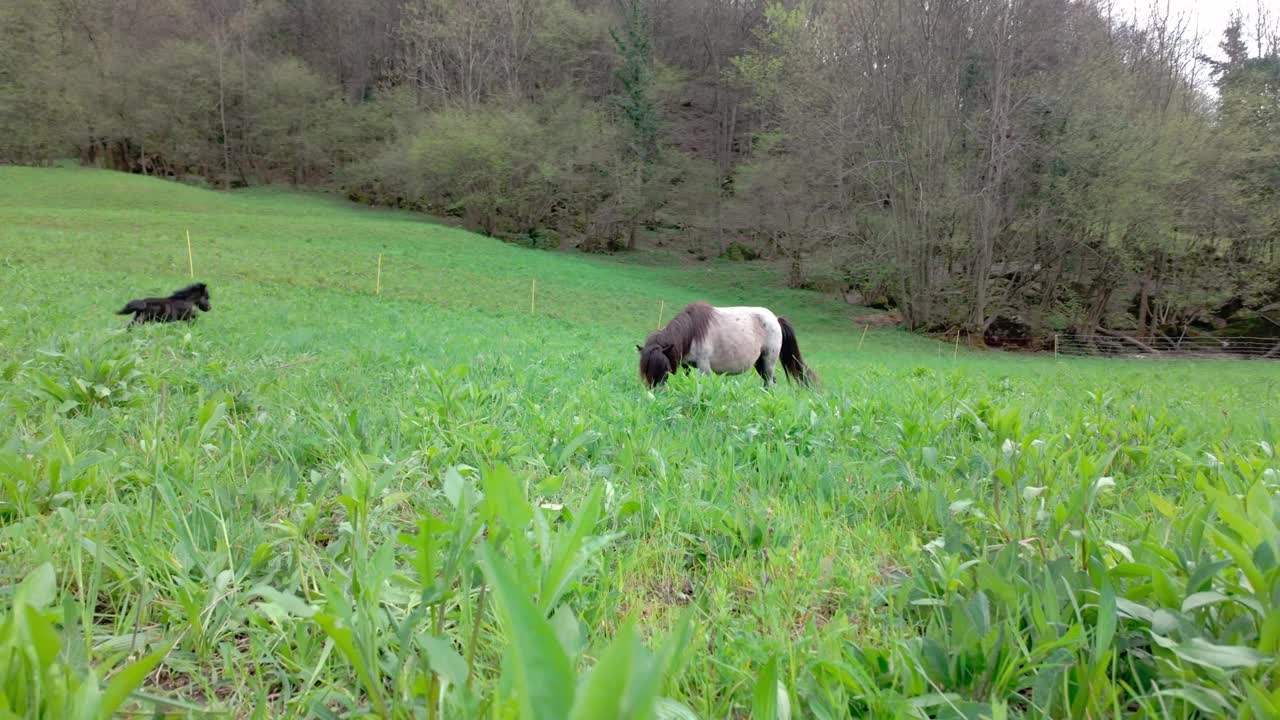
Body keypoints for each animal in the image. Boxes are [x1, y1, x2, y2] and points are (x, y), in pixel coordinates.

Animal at [637, 298, 814, 386]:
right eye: (646, 371)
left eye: (665, 369)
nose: (654, 394)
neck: (692, 331)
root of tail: (775, 319)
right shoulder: (688, 366)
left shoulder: (704, 367)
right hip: (760, 364)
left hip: (768, 362)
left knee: (770, 382)